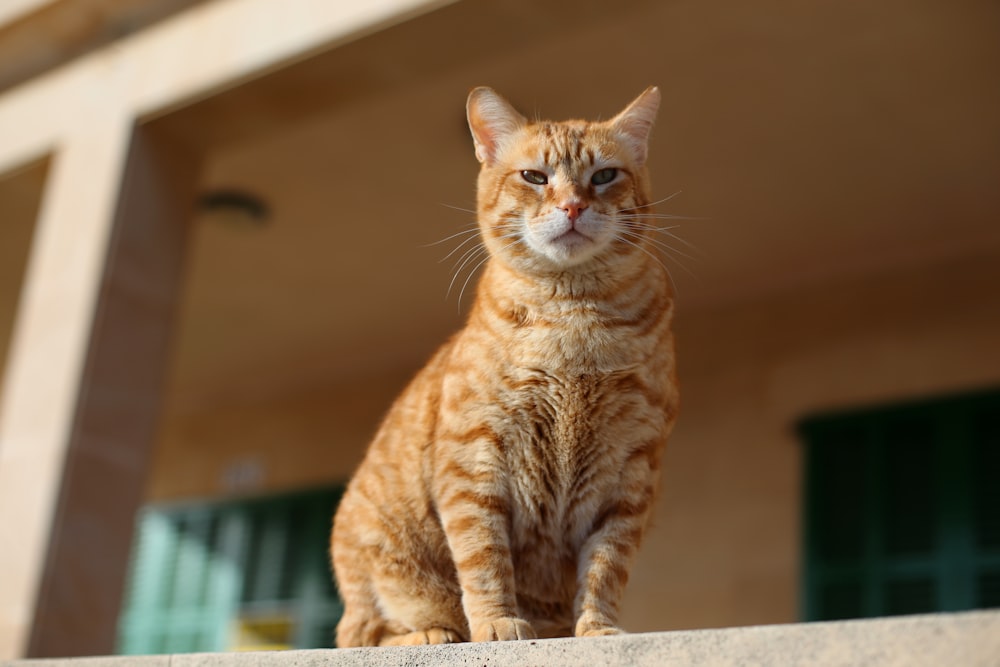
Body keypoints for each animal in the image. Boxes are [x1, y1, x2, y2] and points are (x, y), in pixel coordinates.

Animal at [330, 87, 680, 648]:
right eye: (535, 177)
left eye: (604, 175)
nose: (572, 205)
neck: (575, 318)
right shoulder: (475, 458)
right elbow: (484, 557)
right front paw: (497, 622)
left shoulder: (632, 473)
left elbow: (606, 567)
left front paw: (598, 628)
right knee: (362, 633)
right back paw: (435, 634)